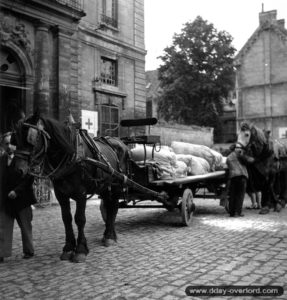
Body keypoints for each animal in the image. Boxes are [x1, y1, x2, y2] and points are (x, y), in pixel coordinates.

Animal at [11, 112, 131, 262]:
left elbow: (79, 218)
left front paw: (80, 249)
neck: (72, 155)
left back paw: (109, 236)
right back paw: (109, 234)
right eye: (15, 139)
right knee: (109, 207)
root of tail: (121, 143)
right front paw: (68, 248)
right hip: (105, 186)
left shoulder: (81, 193)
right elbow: (66, 218)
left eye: (32, 138)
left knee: (113, 207)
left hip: (116, 186)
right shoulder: (61, 194)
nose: (18, 170)